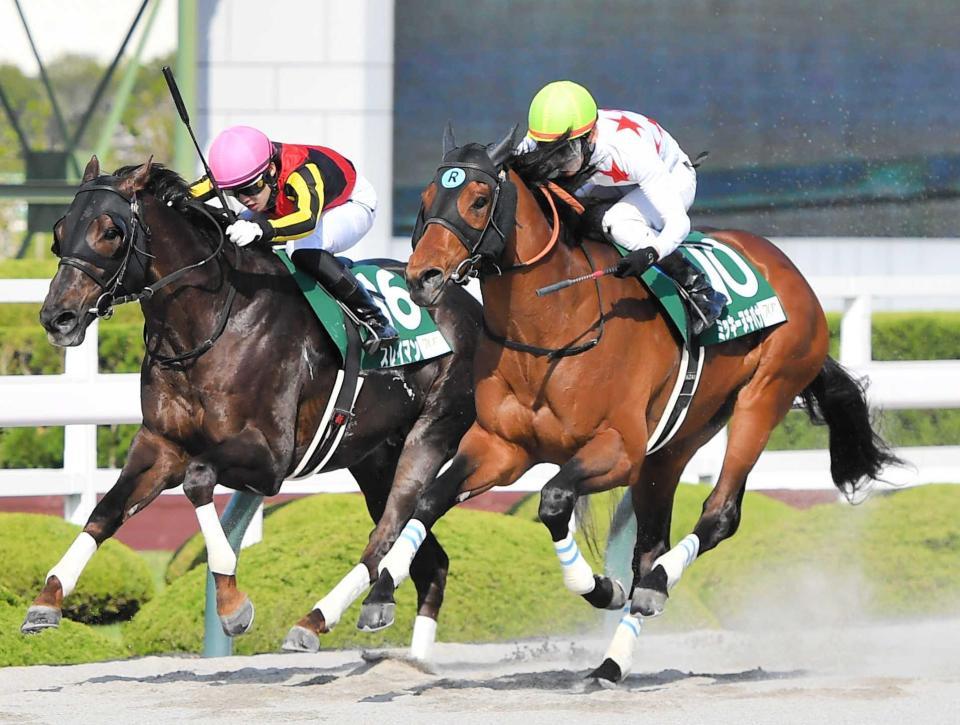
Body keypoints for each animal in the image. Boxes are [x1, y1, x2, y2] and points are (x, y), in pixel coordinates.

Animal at [24, 158, 480, 660]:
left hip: (430, 432)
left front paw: (231, 604)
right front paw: (47, 599)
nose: (57, 318)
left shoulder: (270, 457)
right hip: (375, 457)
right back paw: (390, 630)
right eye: (60, 230)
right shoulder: (160, 444)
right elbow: (105, 511)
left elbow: (198, 479)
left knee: (388, 530)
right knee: (430, 561)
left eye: (110, 231)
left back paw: (315, 620)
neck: (211, 322)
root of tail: (471, 306)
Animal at [352, 129, 900, 680]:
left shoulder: (617, 450)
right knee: (650, 544)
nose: (422, 277)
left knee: (719, 514)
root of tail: (786, 266)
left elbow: (553, 501)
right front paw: (379, 596)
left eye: (479, 199)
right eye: (426, 200)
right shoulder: (502, 447)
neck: (554, 327)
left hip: (763, 396)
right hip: (677, 441)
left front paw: (600, 588)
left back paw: (654, 590)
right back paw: (613, 662)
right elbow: (428, 500)